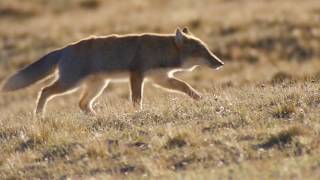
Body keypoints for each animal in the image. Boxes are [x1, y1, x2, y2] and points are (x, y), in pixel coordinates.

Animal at [1, 27, 224, 116]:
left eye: (207, 49)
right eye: (201, 50)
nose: (220, 63)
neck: (159, 49)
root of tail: (65, 48)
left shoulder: (160, 78)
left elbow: (185, 86)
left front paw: (200, 99)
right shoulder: (137, 74)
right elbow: (137, 98)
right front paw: (138, 113)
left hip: (98, 86)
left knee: (82, 103)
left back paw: (96, 116)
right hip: (69, 84)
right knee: (45, 90)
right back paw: (39, 115)